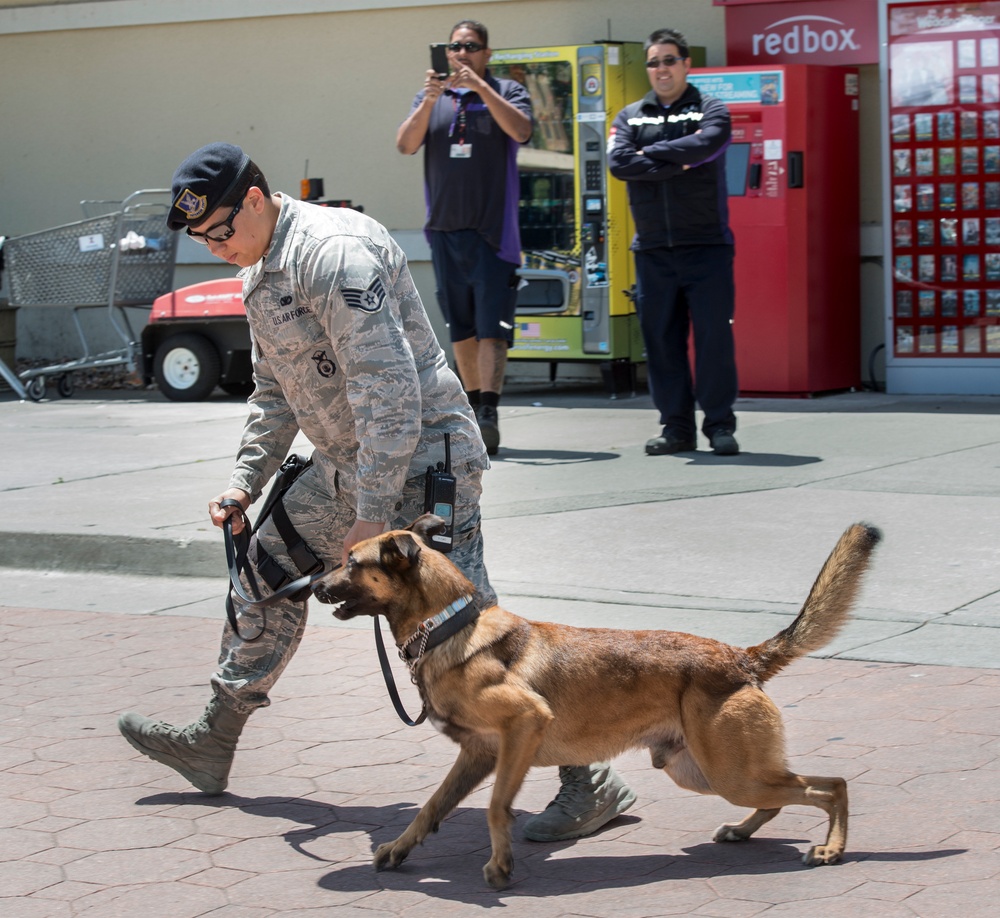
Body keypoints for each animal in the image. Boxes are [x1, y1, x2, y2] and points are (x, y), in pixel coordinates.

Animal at [314, 512, 884, 888]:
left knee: (831, 786)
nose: (312, 585)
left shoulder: (523, 727)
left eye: (351, 562)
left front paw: (500, 868)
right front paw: (398, 849)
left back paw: (832, 848)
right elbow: (431, 807)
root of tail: (741, 658)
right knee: (786, 794)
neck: (447, 626)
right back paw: (745, 832)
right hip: (705, 772)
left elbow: (497, 807)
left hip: (730, 772)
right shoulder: (477, 755)